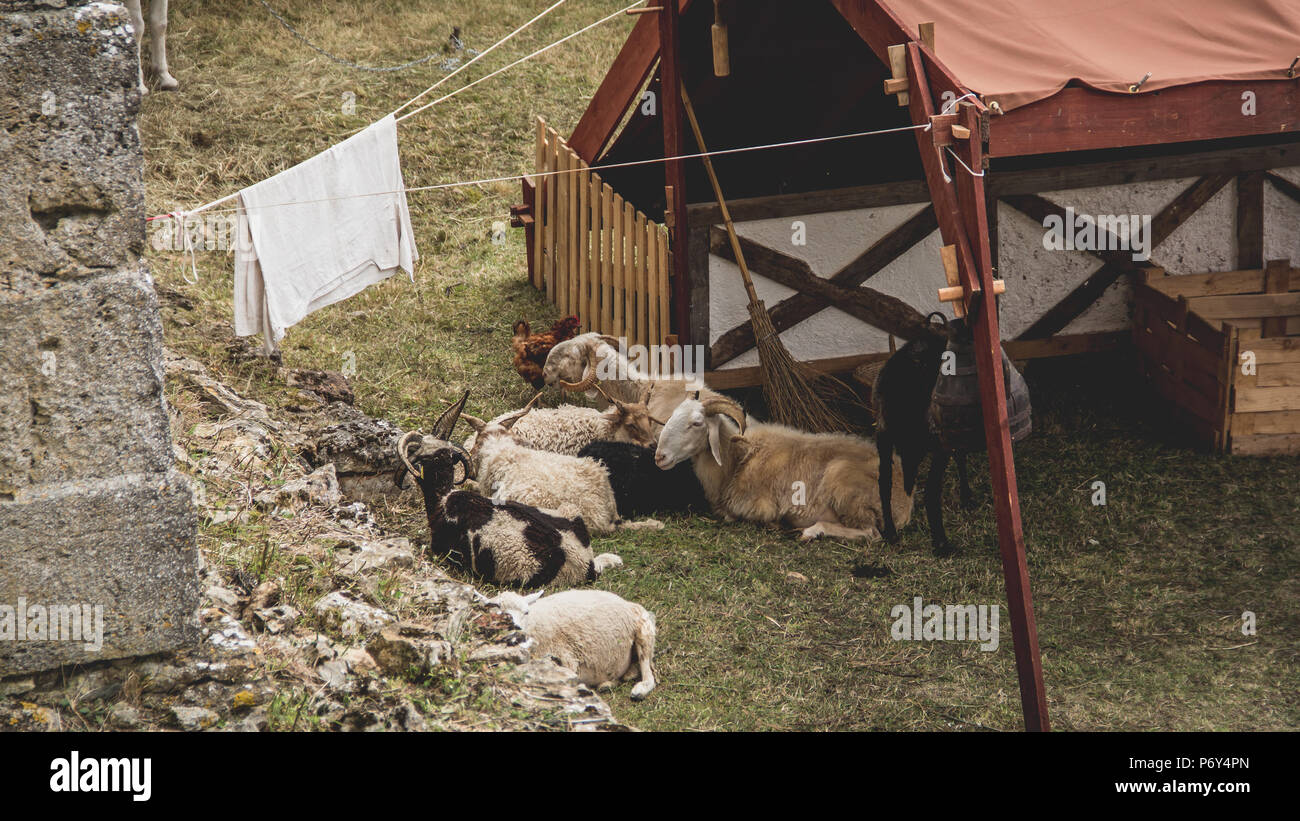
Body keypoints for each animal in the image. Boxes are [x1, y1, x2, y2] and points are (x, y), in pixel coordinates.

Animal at [650, 394, 915, 543]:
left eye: (696, 423)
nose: (659, 457)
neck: (735, 459)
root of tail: (906, 500)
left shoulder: (757, 507)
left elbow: (734, 516)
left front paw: (778, 524)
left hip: (845, 484)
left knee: (871, 533)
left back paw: (811, 532)